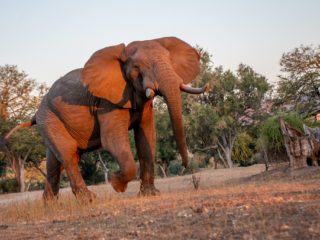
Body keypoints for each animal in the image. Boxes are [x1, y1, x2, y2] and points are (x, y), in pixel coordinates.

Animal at [1, 36, 209, 201]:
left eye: (169, 60)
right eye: (137, 68)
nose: (185, 166)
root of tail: (36, 113)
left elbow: (146, 137)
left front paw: (151, 195)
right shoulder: (107, 102)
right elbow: (112, 139)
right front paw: (117, 185)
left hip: (50, 121)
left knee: (55, 162)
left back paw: (50, 207)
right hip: (49, 118)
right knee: (68, 154)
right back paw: (88, 200)